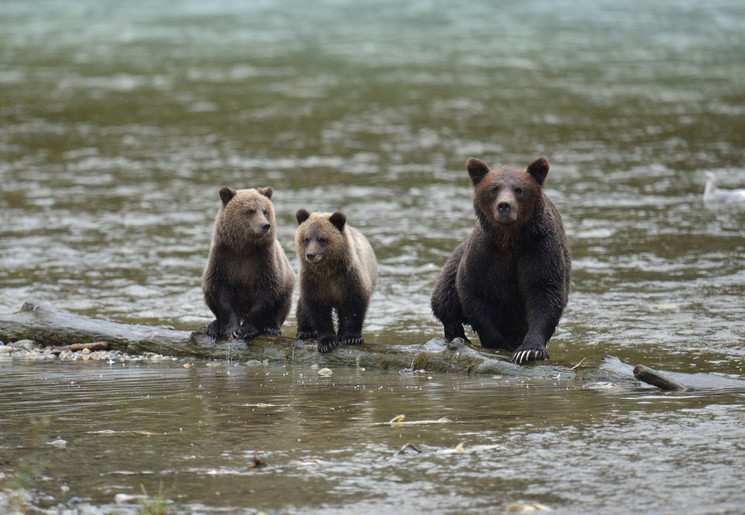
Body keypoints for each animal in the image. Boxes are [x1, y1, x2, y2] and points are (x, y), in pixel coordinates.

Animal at [203, 187, 300, 340]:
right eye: (250, 210)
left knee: (282, 305)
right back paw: (213, 326)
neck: (244, 248)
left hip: (287, 280)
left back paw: (272, 328)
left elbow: (266, 294)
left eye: (265, 211)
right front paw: (231, 329)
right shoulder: (223, 259)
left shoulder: (263, 262)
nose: (265, 225)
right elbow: (220, 293)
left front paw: (245, 330)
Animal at [294, 212, 378, 352]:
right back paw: (305, 331)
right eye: (307, 238)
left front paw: (352, 337)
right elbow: (318, 309)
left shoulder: (348, 278)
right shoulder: (313, 281)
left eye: (322, 239)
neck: (328, 271)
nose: (310, 255)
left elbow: (355, 304)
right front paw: (327, 342)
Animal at [430, 157, 568, 362]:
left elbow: (546, 292)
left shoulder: (540, 250)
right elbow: (473, 294)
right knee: (443, 299)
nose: (504, 205)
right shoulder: (484, 255)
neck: (510, 240)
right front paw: (497, 343)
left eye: (519, 189)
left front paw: (529, 350)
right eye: (493, 188)